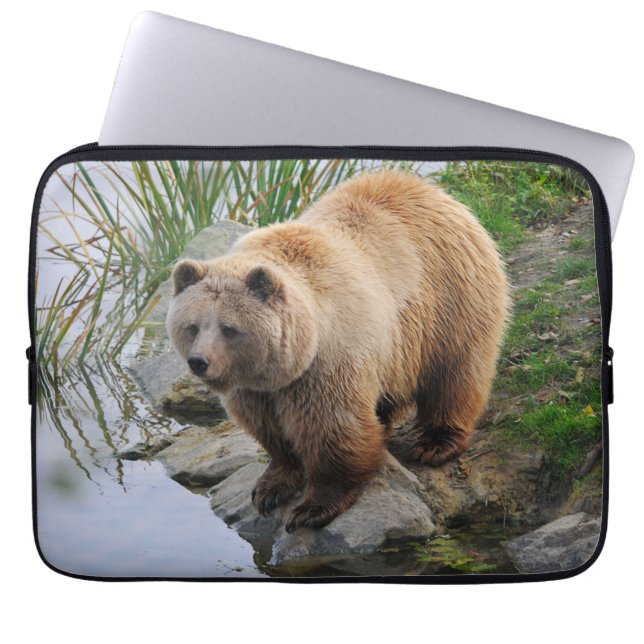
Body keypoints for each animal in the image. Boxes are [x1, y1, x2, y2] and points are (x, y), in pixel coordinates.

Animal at [166, 169, 510, 532]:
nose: (199, 362)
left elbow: (332, 430)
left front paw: (313, 508)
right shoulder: (256, 388)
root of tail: (429, 189)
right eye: (193, 326)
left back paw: (436, 443)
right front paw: (270, 488)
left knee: (455, 373)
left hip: (449, 298)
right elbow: (269, 430)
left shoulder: (327, 362)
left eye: (229, 328)